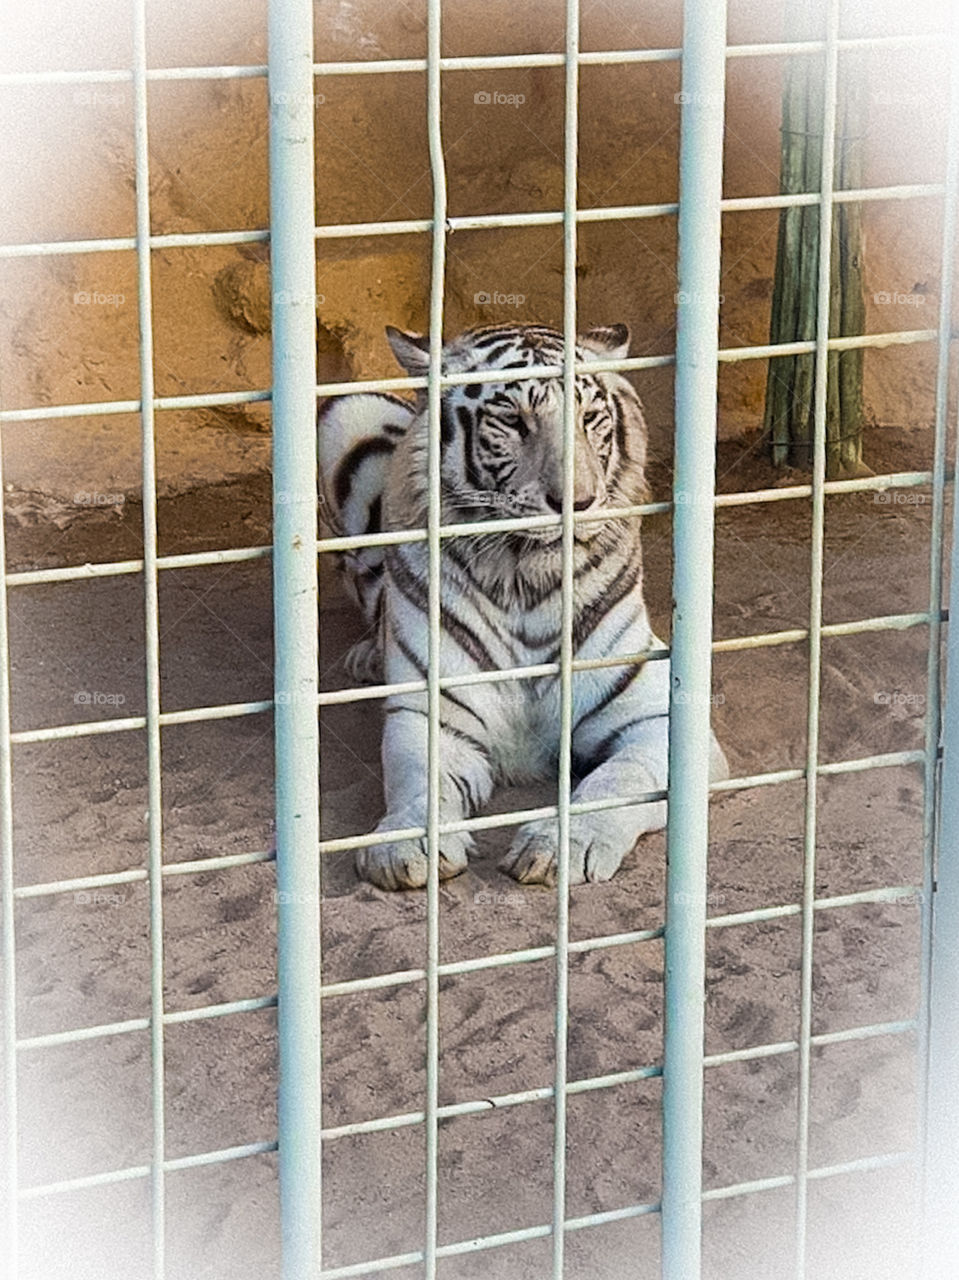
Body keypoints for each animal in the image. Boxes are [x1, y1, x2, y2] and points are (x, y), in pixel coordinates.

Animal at [318, 322, 728, 890]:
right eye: (513, 421)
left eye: (589, 418)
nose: (577, 503)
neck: (525, 579)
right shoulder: (433, 716)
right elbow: (419, 785)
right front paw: (405, 846)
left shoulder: (655, 716)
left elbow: (616, 781)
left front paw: (560, 846)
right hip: (347, 410)